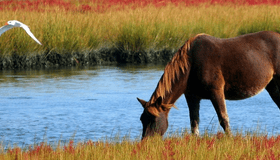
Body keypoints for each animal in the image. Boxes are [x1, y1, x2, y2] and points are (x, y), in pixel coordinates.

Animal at [137, 31, 280, 139]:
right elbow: (194, 122)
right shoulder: (192, 96)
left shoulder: (216, 92)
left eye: (154, 119)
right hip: (272, 86)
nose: (146, 142)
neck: (191, 65)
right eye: (142, 119)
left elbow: (223, 118)